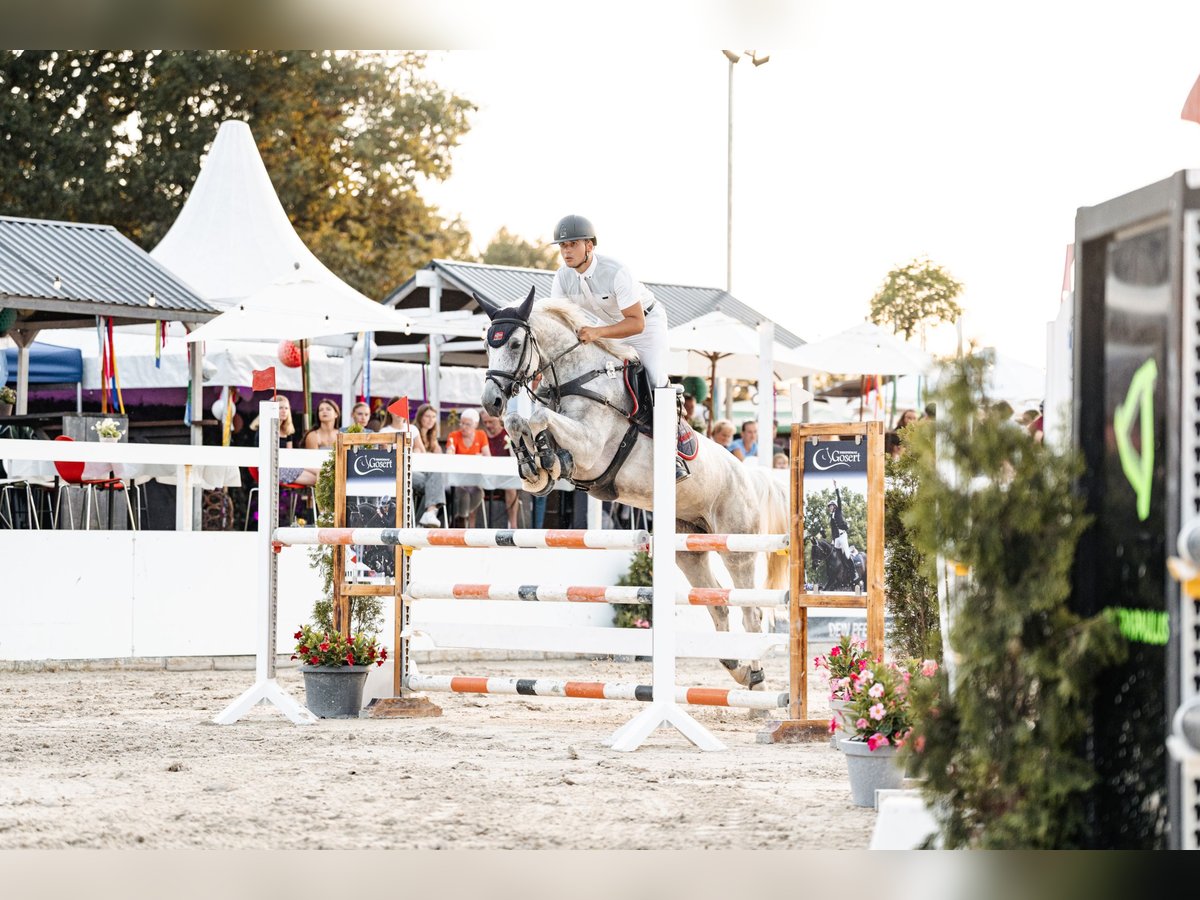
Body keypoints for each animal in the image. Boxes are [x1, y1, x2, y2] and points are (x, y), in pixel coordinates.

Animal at [472, 289, 792, 696]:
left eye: (514, 344)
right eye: (487, 344)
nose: (490, 402)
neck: (577, 378)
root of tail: (749, 474)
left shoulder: (592, 448)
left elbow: (540, 420)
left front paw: (547, 458)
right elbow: (521, 421)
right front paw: (535, 468)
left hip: (738, 547)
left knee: (751, 610)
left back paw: (756, 682)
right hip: (688, 549)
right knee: (718, 603)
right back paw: (737, 670)